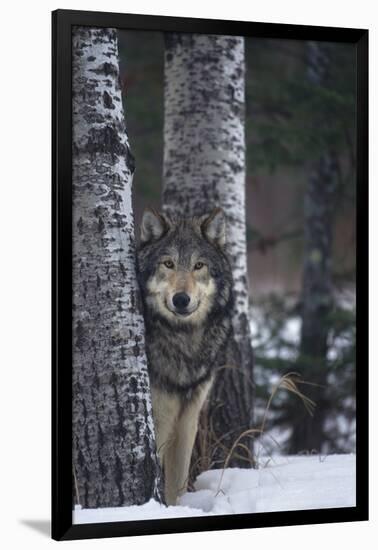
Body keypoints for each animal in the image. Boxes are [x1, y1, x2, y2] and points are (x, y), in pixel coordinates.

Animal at [137, 209, 235, 506]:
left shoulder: (186, 420)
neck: (183, 340)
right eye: (168, 264)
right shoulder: (159, 420)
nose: (181, 299)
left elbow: (176, 484)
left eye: (198, 265)